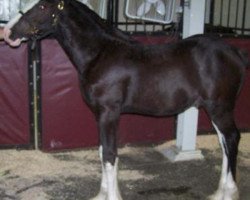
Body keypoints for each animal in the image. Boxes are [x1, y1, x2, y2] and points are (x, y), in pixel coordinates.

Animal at [2, 0, 248, 199]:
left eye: (43, 6)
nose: (7, 33)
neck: (100, 54)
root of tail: (235, 52)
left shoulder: (109, 113)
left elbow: (110, 154)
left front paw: (111, 196)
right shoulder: (99, 115)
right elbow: (103, 152)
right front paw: (102, 195)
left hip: (220, 108)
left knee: (232, 139)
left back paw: (229, 192)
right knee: (224, 143)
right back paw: (218, 192)